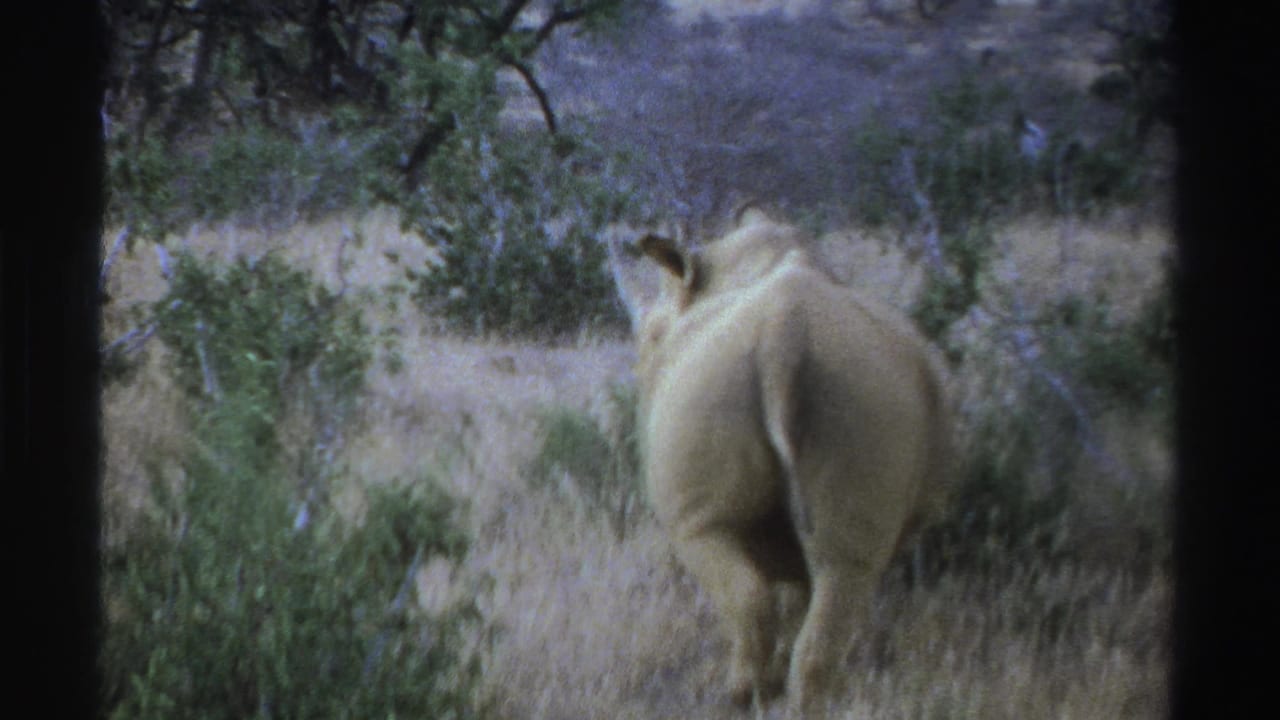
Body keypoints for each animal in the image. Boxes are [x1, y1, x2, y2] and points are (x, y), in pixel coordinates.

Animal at [611, 208, 952, 715]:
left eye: (650, 337)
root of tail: (782, 336)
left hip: (713, 389)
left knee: (706, 536)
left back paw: (743, 695)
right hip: (865, 396)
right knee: (844, 567)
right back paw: (804, 701)